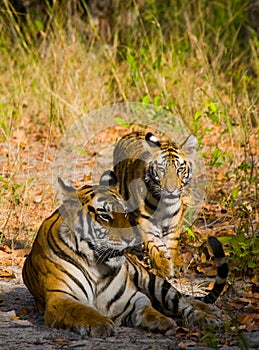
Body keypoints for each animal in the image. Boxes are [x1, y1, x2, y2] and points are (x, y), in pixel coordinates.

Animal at [22, 171, 230, 338]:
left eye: (125, 213)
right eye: (105, 215)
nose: (133, 239)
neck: (96, 265)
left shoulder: (130, 299)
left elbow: (148, 308)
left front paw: (162, 322)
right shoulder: (60, 297)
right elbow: (82, 310)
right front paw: (101, 324)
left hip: (152, 280)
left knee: (183, 301)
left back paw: (209, 316)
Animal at [113, 130, 197, 278]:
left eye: (180, 169)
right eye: (161, 169)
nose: (171, 190)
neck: (164, 204)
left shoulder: (174, 222)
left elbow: (172, 243)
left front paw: (177, 264)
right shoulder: (147, 223)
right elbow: (156, 247)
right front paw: (164, 268)